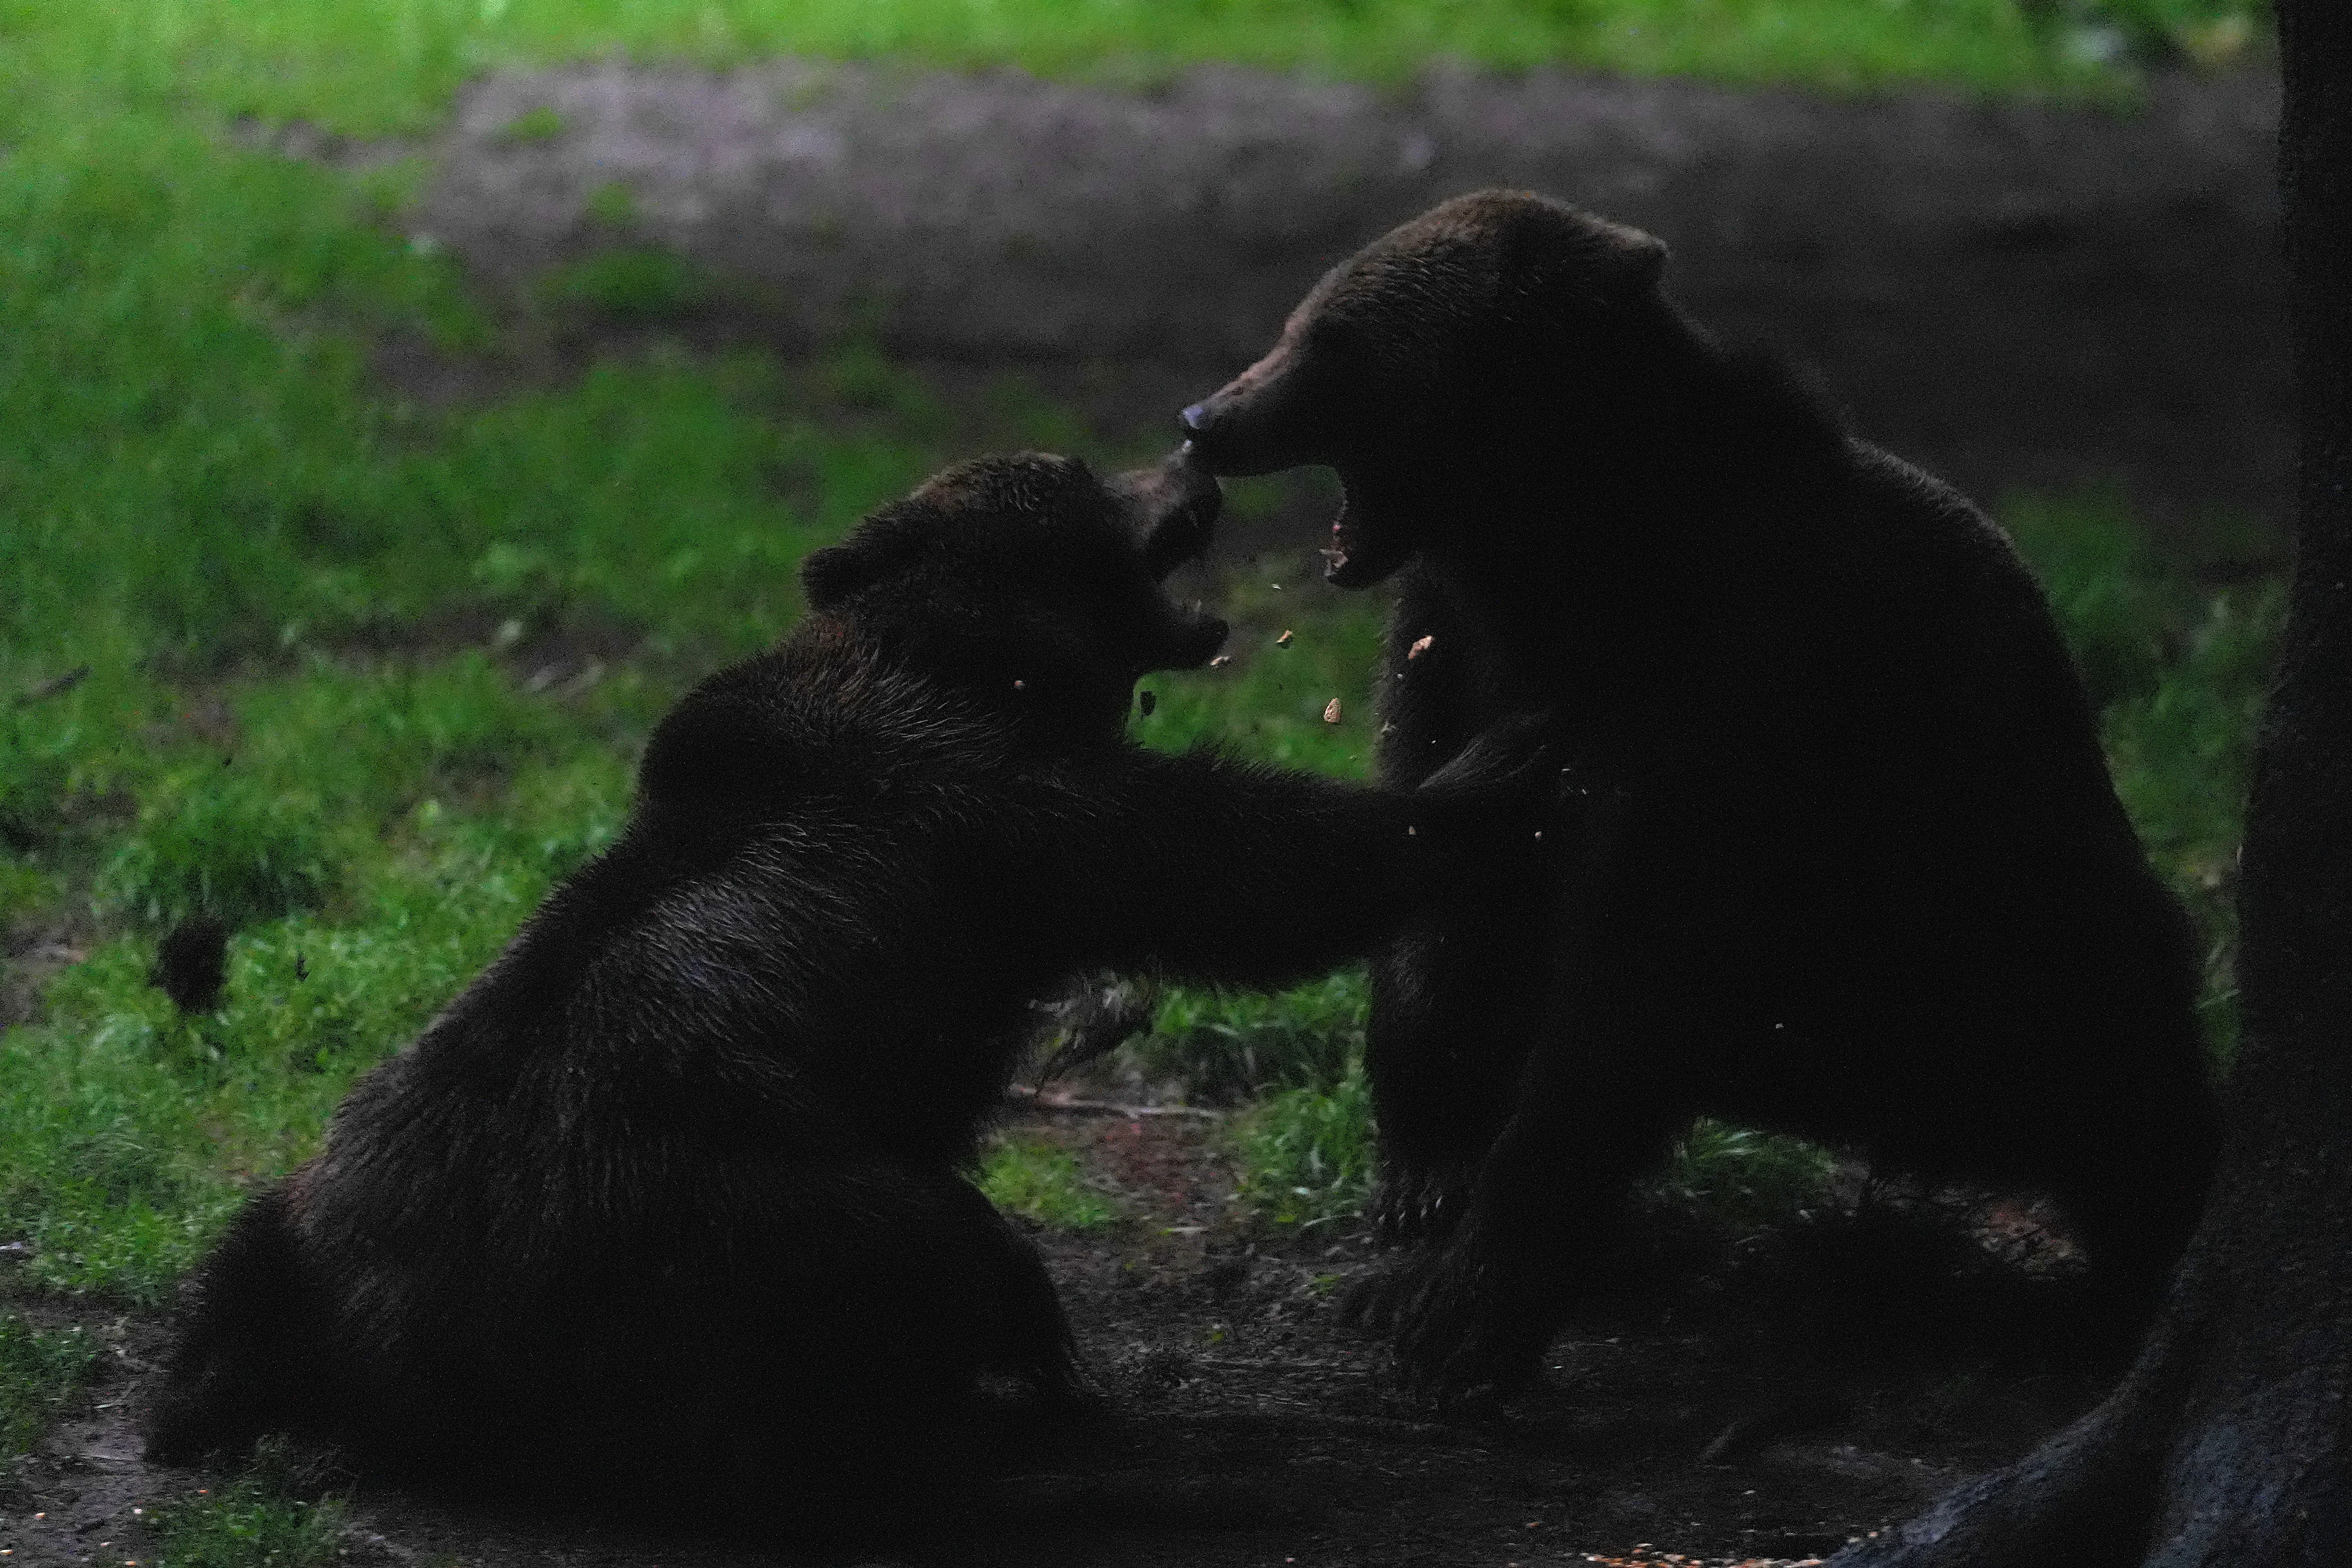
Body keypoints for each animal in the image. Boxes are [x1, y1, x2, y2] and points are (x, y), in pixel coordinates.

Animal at [145, 448, 1556, 1507]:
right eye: (1076, 473)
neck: (977, 659)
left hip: (320, 1197)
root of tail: (357, 1330)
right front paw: (1492, 781)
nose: (1195, 459)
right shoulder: (986, 804)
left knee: (232, 1256)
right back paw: (994, 1392)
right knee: (929, 1252)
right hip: (707, 1215)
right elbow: (1229, 862)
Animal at [1176, 190, 2221, 1396]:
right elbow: (1442, 887)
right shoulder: (1450, 648)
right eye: (1300, 322)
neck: (1569, 561)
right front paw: (1418, 1190)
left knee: (2123, 1056)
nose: (1204, 416)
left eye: (1334, 341)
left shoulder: (1741, 676)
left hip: (2003, 929)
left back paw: (2124, 1281)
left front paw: (1465, 1309)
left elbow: (1627, 977)